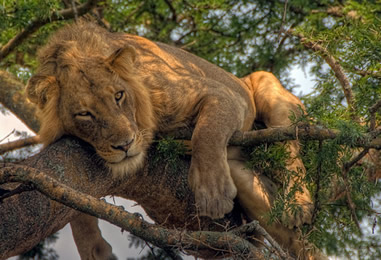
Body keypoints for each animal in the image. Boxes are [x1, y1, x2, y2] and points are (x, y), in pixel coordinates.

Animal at [25, 21, 320, 258]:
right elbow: (71, 206)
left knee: (291, 154)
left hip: (268, 90)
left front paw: (212, 193)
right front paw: (94, 250)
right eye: (84, 114)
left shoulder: (221, 93)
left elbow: (207, 133)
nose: (125, 145)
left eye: (119, 95)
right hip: (247, 184)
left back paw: (298, 206)